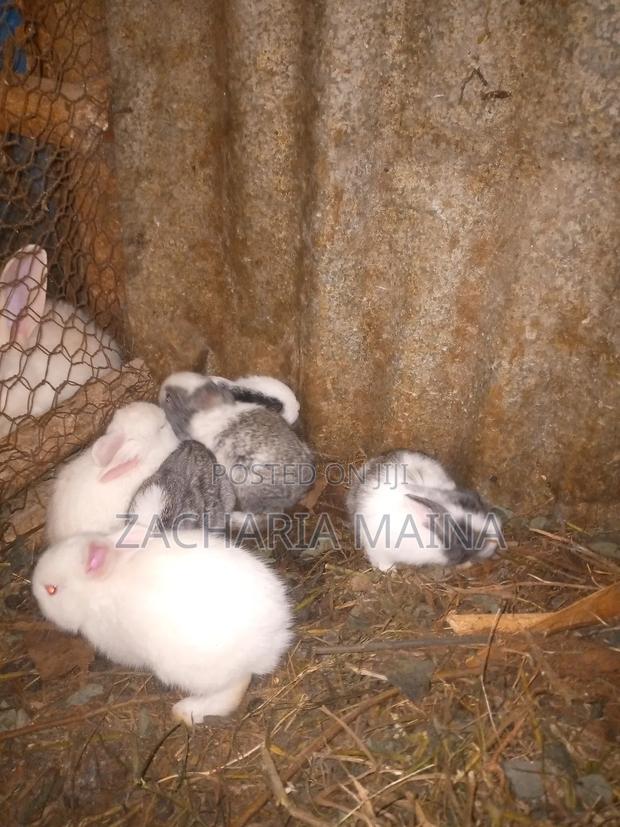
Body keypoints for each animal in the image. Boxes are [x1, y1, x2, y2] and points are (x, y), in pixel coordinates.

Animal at [31, 527, 293, 724]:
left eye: (51, 590)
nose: (33, 590)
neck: (99, 591)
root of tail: (275, 637)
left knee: (235, 688)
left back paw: (185, 711)